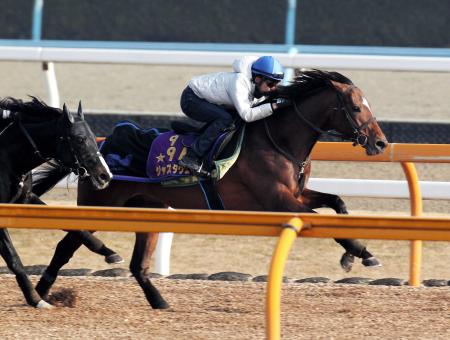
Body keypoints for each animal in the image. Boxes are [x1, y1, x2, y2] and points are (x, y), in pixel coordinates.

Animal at [0, 96, 112, 308]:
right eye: (80, 139)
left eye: (93, 136)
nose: (105, 175)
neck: (7, 159)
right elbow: (14, 259)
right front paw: (36, 299)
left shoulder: (26, 198)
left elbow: (71, 225)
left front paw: (107, 251)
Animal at [35, 70, 388, 310]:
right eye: (357, 108)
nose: (381, 142)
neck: (279, 140)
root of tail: (99, 147)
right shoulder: (278, 200)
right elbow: (328, 220)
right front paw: (361, 253)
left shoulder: (297, 194)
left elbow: (338, 202)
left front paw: (353, 255)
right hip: (100, 203)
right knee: (66, 246)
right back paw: (41, 291)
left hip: (148, 209)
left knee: (138, 265)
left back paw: (159, 302)